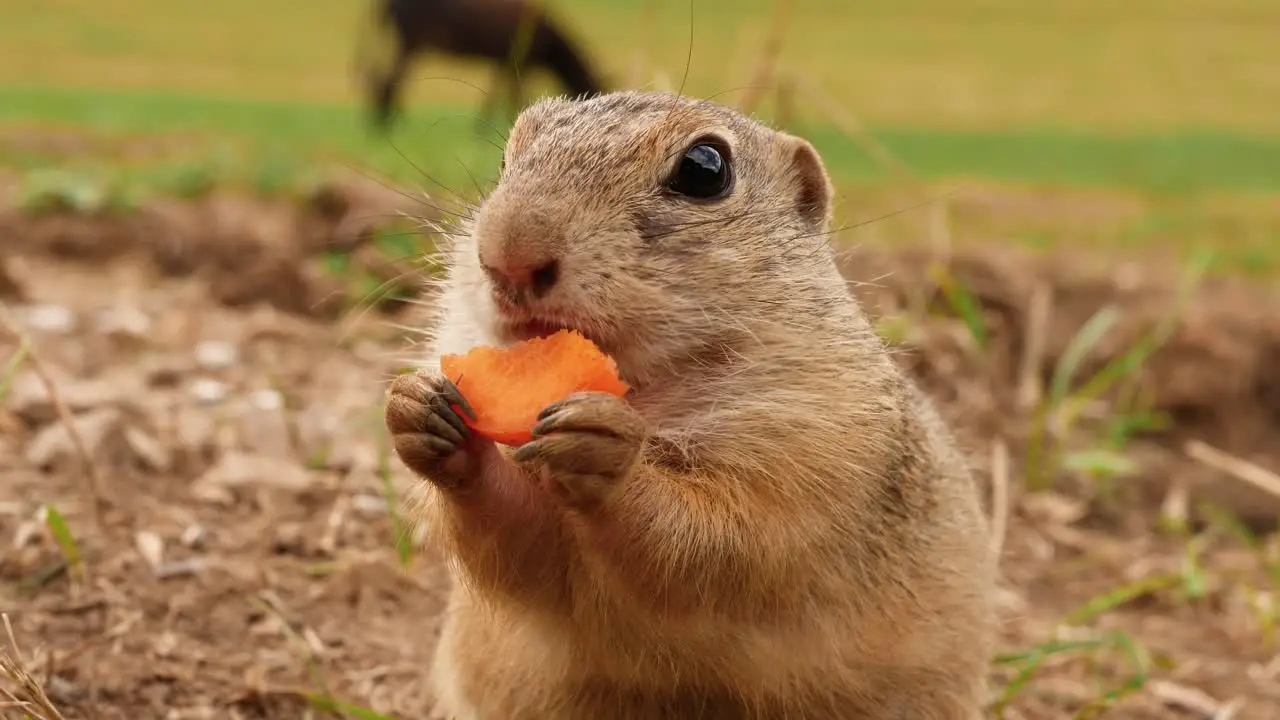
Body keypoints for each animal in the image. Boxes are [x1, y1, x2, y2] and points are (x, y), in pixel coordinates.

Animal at [384, 90, 993, 717]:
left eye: (705, 169)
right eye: (507, 158)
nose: (508, 254)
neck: (643, 392)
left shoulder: (810, 445)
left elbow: (720, 541)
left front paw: (609, 451)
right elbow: (520, 550)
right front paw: (417, 408)